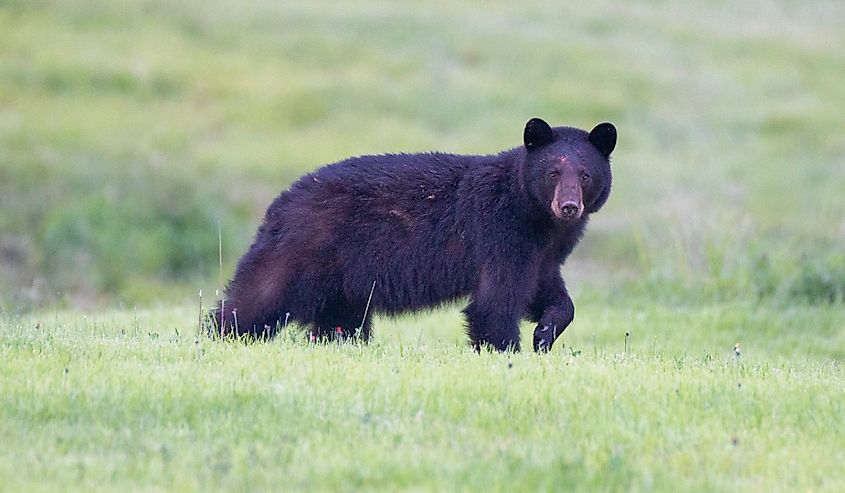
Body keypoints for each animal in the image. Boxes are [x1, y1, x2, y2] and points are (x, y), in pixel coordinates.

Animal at [213, 118, 616, 352]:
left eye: (585, 174)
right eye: (553, 173)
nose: (569, 207)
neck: (535, 217)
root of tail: (281, 202)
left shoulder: (543, 253)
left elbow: (549, 291)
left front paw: (544, 333)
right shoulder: (500, 234)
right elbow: (494, 302)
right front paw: (505, 351)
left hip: (344, 277)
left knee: (342, 319)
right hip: (305, 248)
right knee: (260, 294)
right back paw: (221, 335)